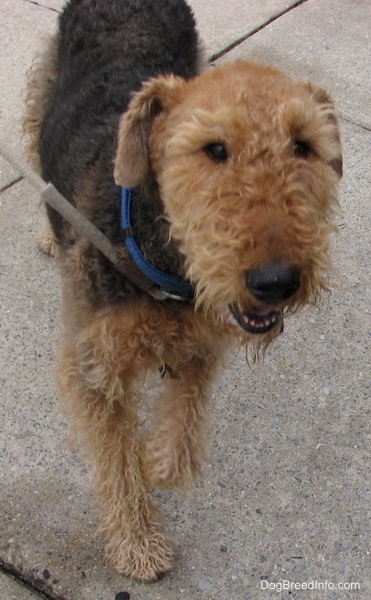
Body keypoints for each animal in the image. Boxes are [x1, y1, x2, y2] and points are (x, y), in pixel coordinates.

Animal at [22, 0, 342, 584]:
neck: (165, 265)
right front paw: (139, 544)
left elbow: (183, 423)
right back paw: (48, 231)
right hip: (41, 87)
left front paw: (159, 464)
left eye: (303, 146)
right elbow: (116, 463)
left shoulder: (201, 343)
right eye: (214, 149)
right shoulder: (93, 367)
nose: (276, 281)